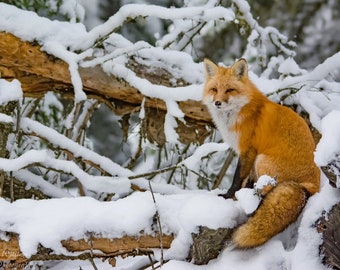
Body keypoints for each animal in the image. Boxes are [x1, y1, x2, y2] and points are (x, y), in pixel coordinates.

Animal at [203, 58, 320, 248]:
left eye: (229, 90)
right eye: (214, 89)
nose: (217, 103)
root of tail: (312, 185)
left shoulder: (248, 150)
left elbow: (237, 178)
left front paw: (228, 196)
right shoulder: (249, 155)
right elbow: (249, 181)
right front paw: (243, 195)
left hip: (262, 160)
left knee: (268, 190)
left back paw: (255, 210)